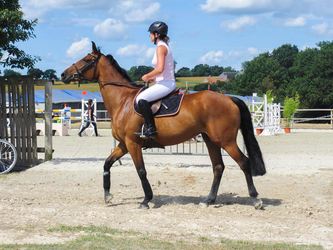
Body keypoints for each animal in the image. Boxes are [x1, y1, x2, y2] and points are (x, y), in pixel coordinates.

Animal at [61, 42, 264, 210]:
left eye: (87, 60)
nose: (63, 74)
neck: (123, 101)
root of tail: (229, 98)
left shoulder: (133, 144)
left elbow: (141, 171)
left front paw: (146, 200)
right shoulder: (124, 144)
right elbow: (107, 163)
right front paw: (107, 195)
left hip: (226, 140)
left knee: (244, 163)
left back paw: (255, 199)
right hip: (211, 140)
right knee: (218, 167)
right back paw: (208, 200)